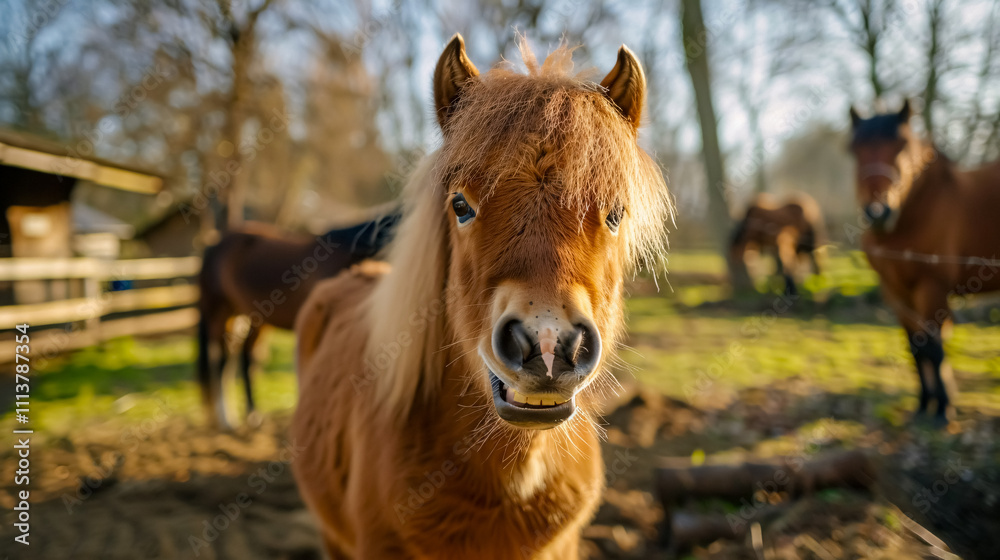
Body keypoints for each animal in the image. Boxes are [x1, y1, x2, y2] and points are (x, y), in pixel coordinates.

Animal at [196, 212, 399, 429]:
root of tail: (214, 245)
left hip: (252, 317)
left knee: (244, 358)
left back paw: (252, 415)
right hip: (221, 313)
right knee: (221, 359)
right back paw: (226, 419)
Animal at [848, 100, 1000, 427]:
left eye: (902, 145)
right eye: (853, 149)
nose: (878, 211)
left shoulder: (931, 288)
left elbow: (935, 348)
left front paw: (943, 409)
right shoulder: (895, 291)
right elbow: (916, 348)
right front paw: (923, 405)